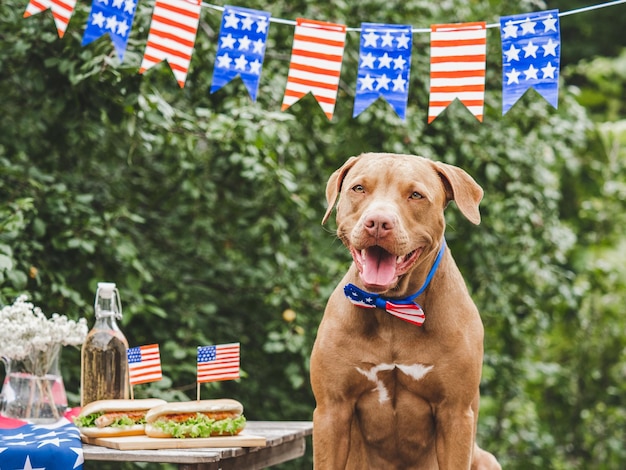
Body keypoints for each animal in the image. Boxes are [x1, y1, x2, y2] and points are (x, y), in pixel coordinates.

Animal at [310, 154, 500, 470]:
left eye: (416, 195)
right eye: (359, 188)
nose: (378, 222)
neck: (393, 308)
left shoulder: (455, 414)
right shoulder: (331, 410)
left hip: (486, 459)